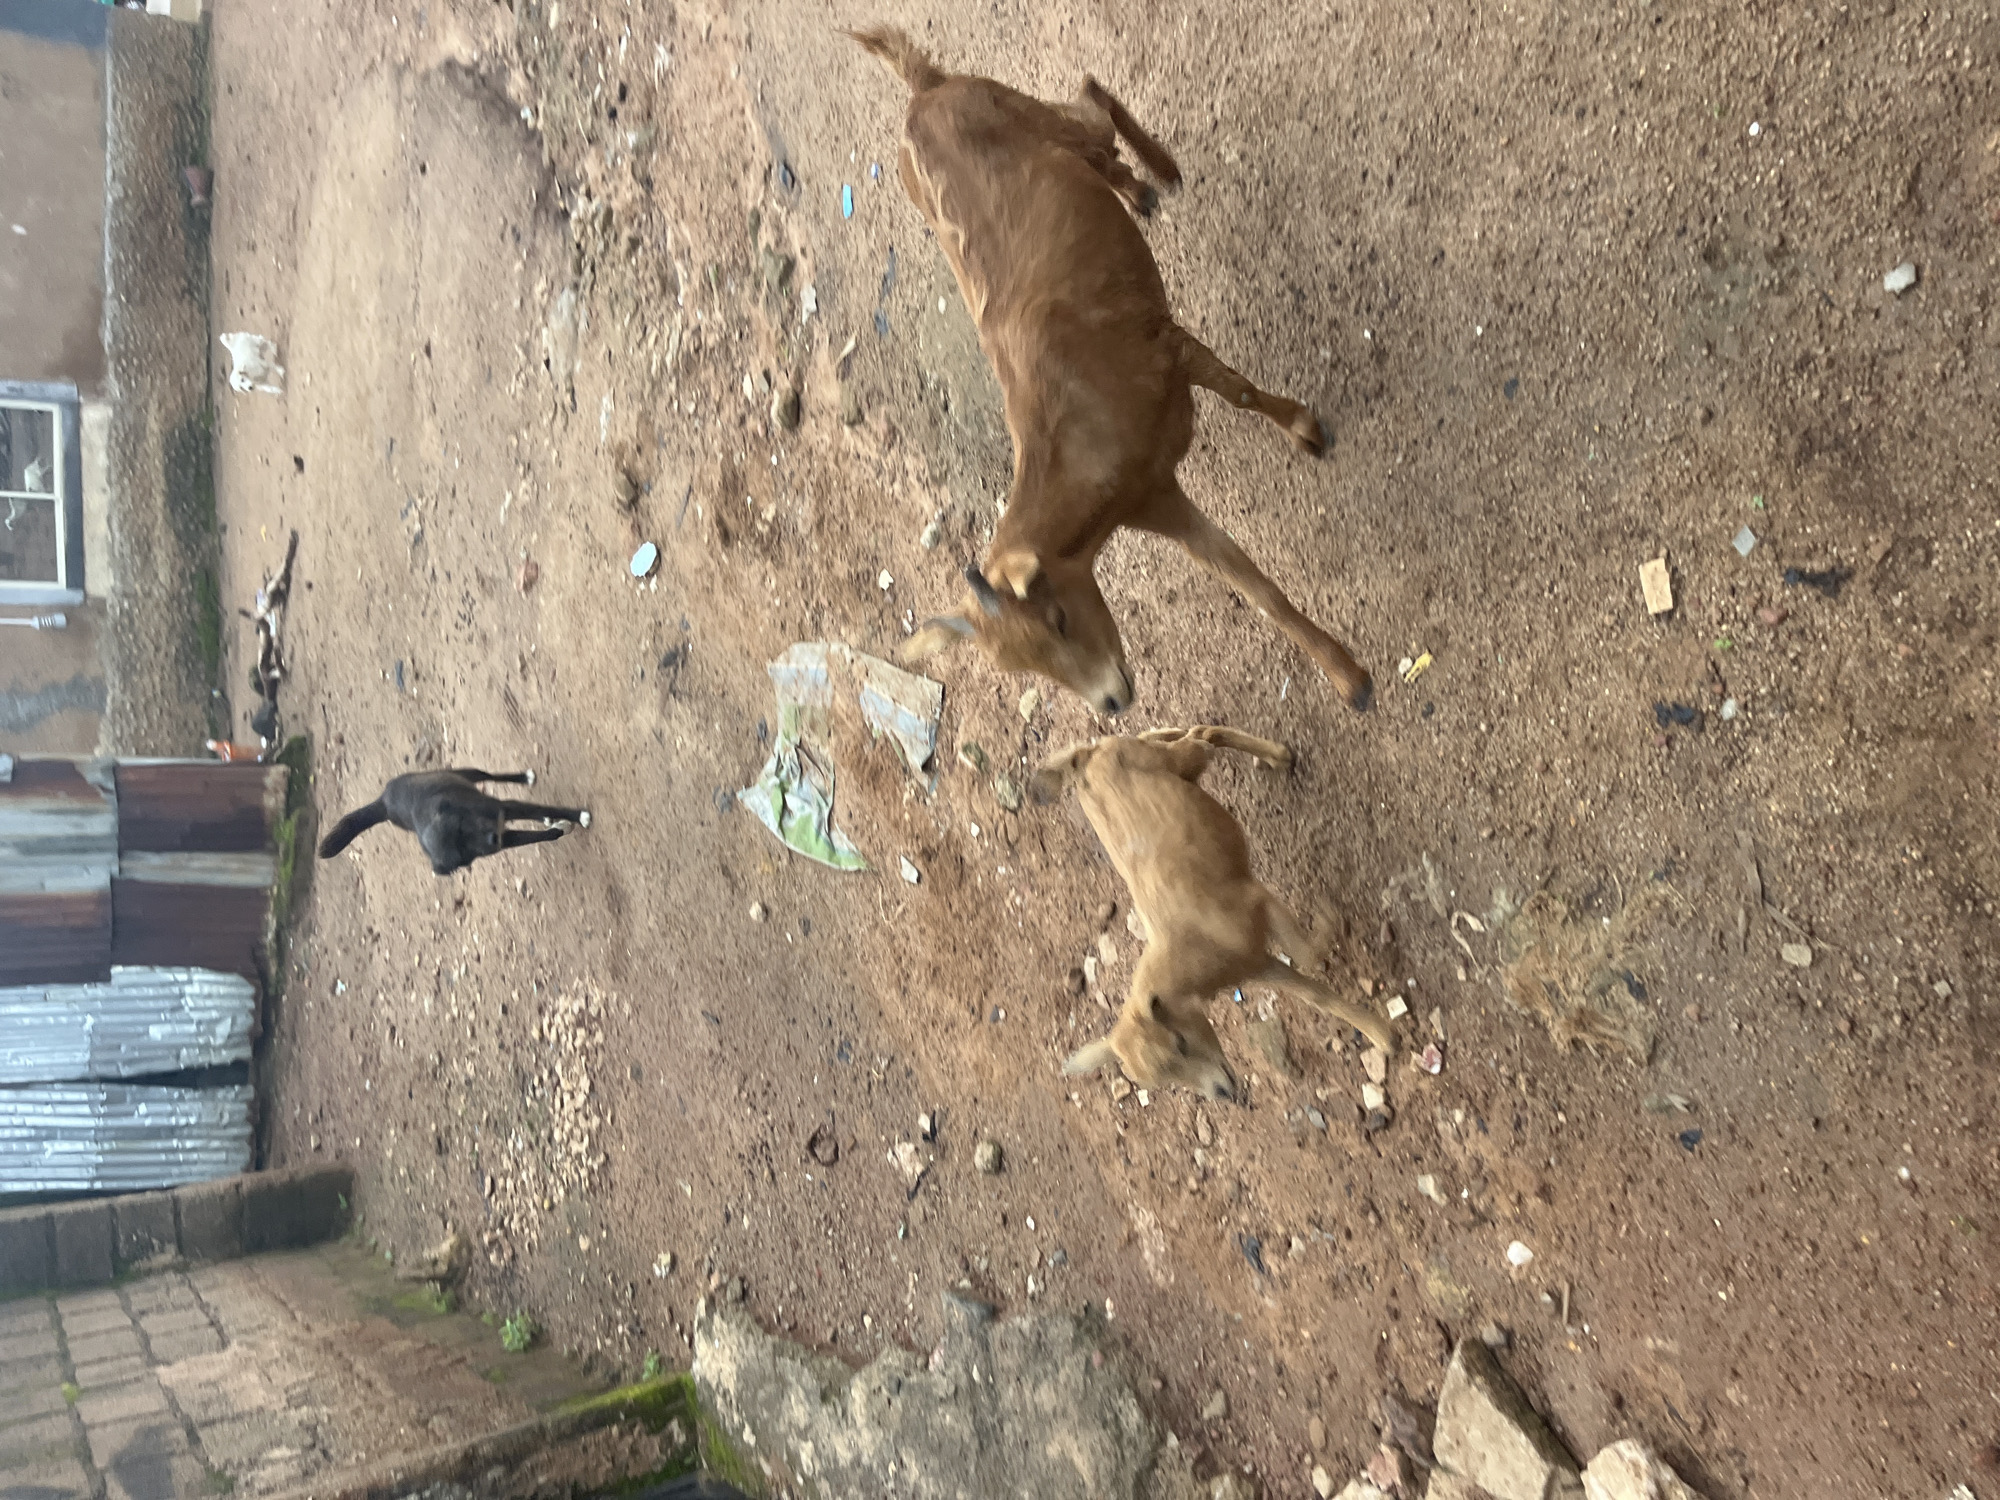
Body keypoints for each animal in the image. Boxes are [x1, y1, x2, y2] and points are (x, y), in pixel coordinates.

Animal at [317, 769, 589, 876]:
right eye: (462, 854)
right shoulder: (506, 838)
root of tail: (383, 801)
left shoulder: (503, 808)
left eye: (460, 827)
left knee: (488, 774)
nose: (492, 839)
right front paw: (559, 827)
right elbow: (539, 835)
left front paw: (579, 816)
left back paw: (524, 777)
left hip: (463, 772)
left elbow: (545, 808)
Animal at [850, 27, 1372, 715]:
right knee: (1098, 146)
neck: (1078, 435)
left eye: (1059, 619)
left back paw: (1162, 168)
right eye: (1020, 666)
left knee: (1089, 97)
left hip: (1033, 113)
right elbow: (1247, 581)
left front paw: (1307, 430)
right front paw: (1350, 680)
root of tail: (925, 88)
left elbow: (1239, 392)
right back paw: (1138, 189)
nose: (1112, 704)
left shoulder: (1165, 348)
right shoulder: (1150, 495)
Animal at [1033, 726, 1393, 1099]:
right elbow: (1315, 994)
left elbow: (1307, 956)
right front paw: (1382, 1036)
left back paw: (1278, 756)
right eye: (1160, 1082)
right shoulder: (1252, 965)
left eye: (1179, 1042)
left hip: (1182, 759)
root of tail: (1084, 761)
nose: (1222, 1093)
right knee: (1172, 734)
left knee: (1204, 735)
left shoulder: (1256, 902)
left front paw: (1329, 916)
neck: (1193, 951)